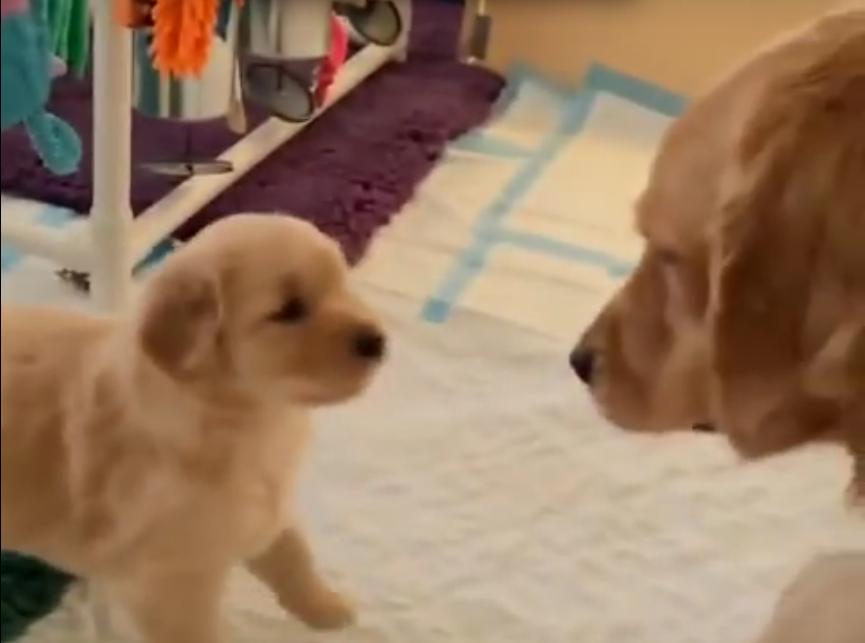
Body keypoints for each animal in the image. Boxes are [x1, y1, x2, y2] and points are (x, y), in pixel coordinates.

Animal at [0, 215, 384, 643]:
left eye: (342, 284)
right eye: (288, 311)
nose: (376, 341)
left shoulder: (269, 505)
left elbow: (293, 556)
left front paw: (325, 607)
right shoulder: (172, 584)